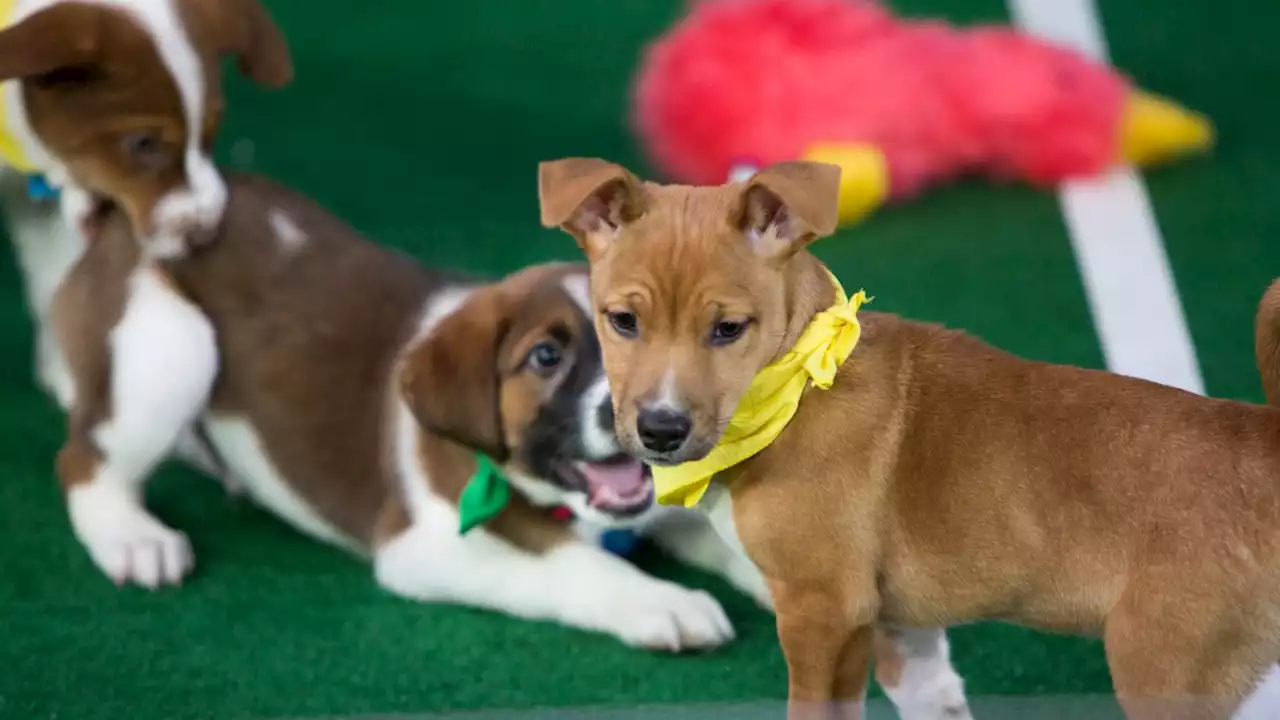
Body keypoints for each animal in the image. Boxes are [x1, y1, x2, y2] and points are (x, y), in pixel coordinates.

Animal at [45, 172, 752, 650]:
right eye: (546, 357)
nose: (653, 424)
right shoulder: (429, 543)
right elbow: (575, 559)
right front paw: (663, 601)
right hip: (173, 343)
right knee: (83, 457)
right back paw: (132, 537)